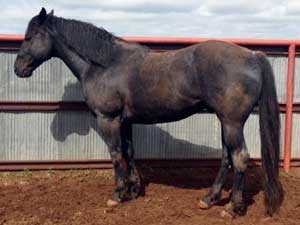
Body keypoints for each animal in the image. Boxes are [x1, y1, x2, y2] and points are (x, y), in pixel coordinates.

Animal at [14, 7, 282, 217]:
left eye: (29, 37)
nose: (18, 69)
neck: (105, 65)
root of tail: (252, 55)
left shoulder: (108, 120)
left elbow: (115, 154)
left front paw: (117, 194)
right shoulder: (125, 121)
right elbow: (129, 152)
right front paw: (134, 189)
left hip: (232, 122)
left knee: (239, 158)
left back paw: (232, 208)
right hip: (226, 122)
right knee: (227, 157)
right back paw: (209, 199)